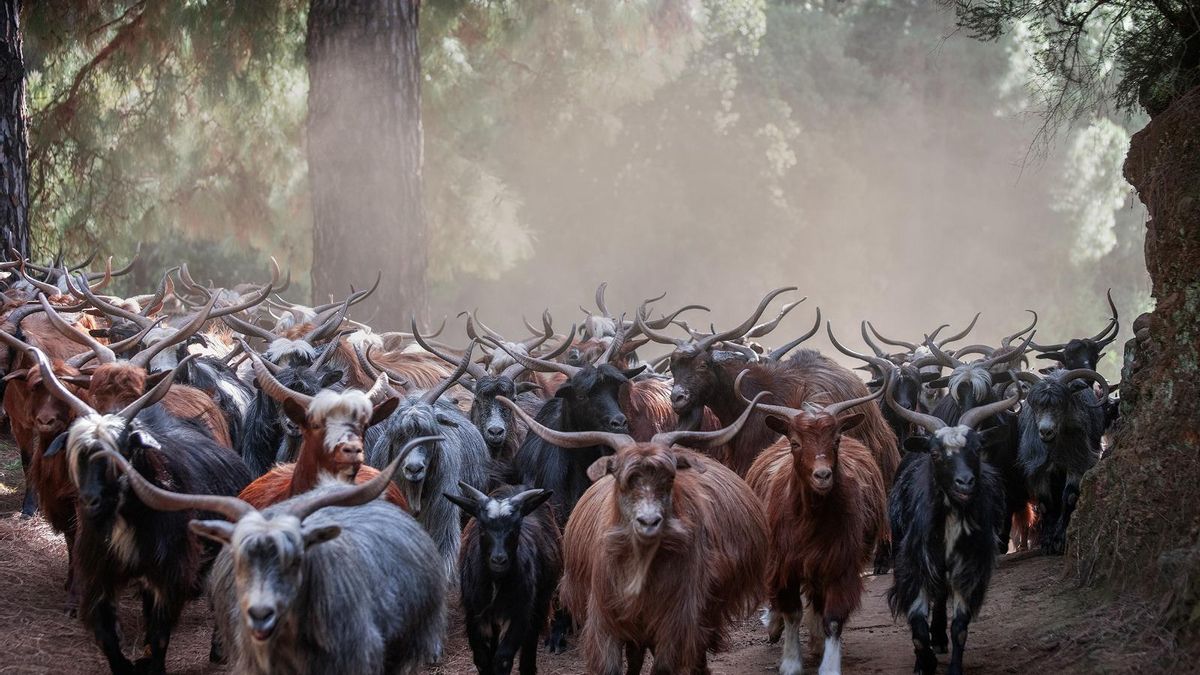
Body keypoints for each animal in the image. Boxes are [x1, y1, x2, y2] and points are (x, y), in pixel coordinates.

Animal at [446, 482, 561, 675]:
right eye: (482, 528)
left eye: (515, 528)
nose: (499, 559)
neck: (496, 582)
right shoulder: (475, 614)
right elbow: (482, 659)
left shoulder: (519, 612)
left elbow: (503, 659)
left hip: (540, 601)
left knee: (531, 637)